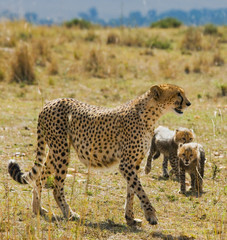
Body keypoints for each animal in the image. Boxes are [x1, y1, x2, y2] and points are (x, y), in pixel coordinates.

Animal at [7, 83, 191, 226]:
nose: (188, 103)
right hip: (61, 151)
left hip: (56, 150)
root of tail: (50, 102)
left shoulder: (134, 163)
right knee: (56, 187)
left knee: (40, 177)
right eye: (178, 94)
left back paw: (37, 209)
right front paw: (150, 215)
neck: (150, 114)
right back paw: (69, 213)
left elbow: (131, 191)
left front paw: (130, 218)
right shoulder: (126, 164)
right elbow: (140, 190)